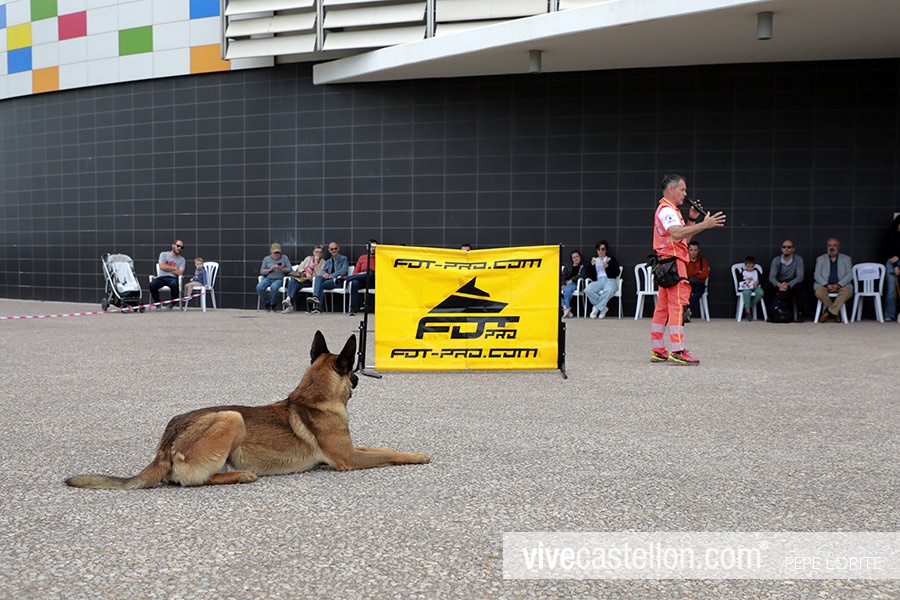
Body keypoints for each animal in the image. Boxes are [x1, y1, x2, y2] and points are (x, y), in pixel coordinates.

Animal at [66, 331, 430, 489]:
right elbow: (387, 455)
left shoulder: (353, 447)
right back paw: (239, 475)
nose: (357, 377)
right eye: (353, 370)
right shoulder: (349, 458)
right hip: (231, 417)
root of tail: (165, 446)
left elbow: (383, 447)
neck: (313, 398)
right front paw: (417, 457)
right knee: (194, 481)